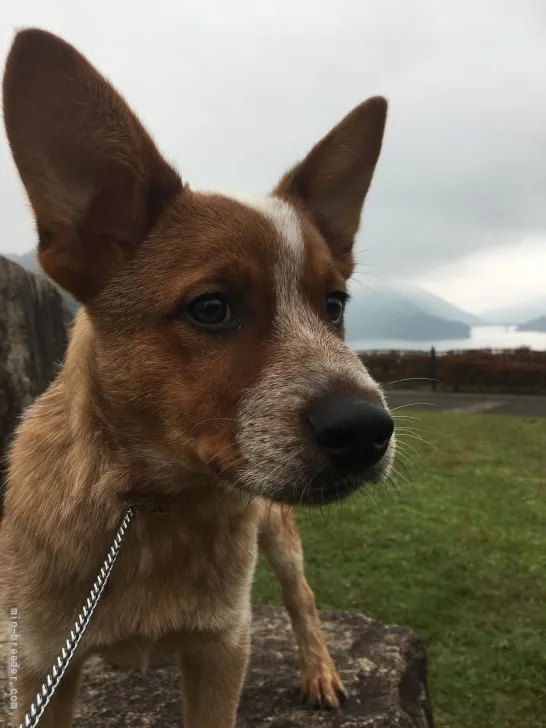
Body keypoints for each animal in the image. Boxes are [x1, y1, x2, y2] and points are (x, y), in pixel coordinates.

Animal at [0, 27, 394, 728]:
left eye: (334, 304)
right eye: (212, 308)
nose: (368, 429)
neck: (149, 508)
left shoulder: (221, 648)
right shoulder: (39, 664)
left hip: (280, 536)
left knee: (302, 596)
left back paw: (319, 668)